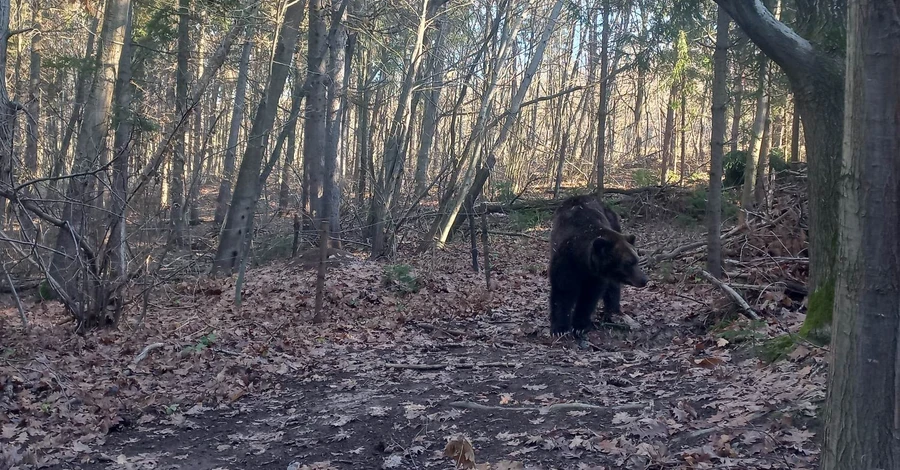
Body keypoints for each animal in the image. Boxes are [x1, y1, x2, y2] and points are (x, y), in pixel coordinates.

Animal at [548, 196, 648, 338]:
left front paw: (580, 326)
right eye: (628, 263)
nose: (644, 280)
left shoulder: (596, 275)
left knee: (613, 287)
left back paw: (612, 310)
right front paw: (560, 328)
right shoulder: (566, 263)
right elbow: (563, 291)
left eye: (637, 260)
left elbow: (589, 295)